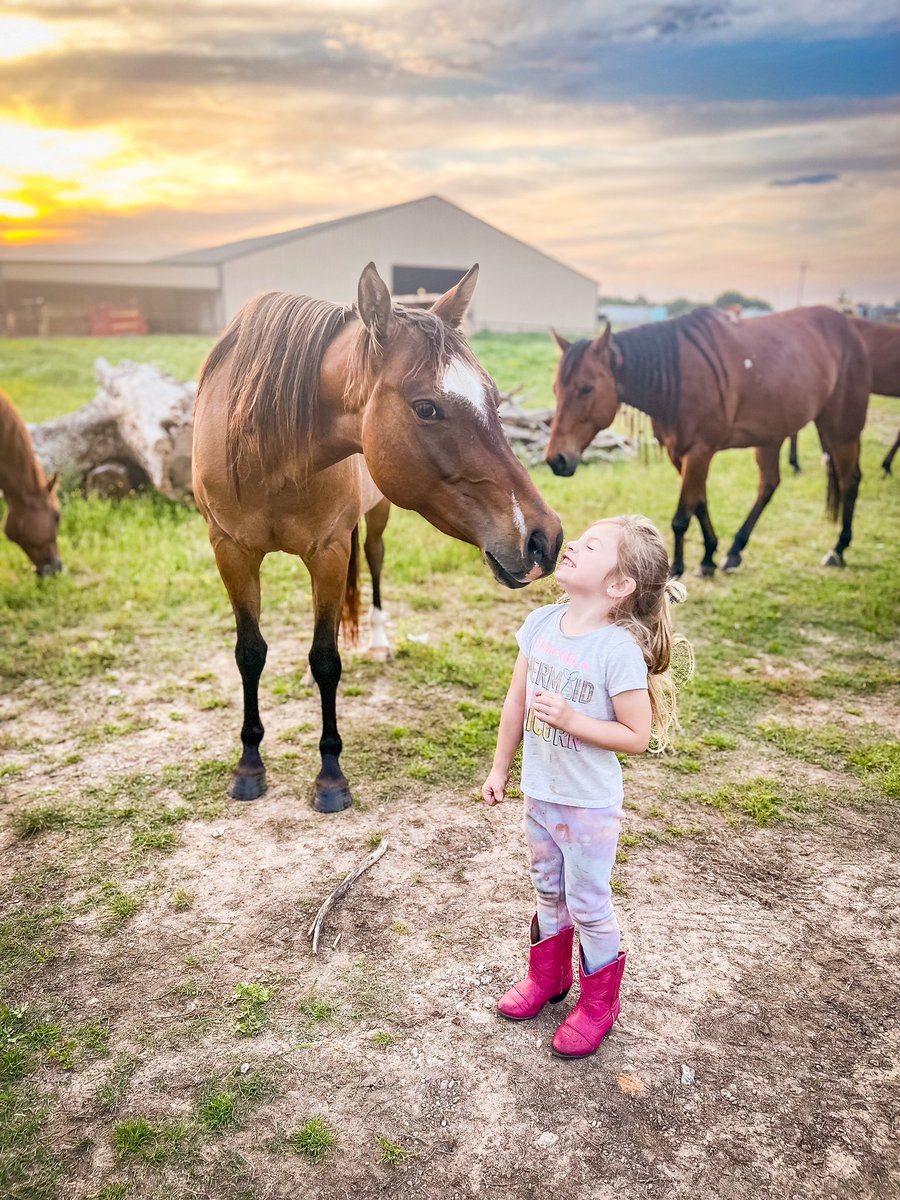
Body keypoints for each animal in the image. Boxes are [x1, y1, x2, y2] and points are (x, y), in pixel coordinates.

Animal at [193, 263, 563, 812]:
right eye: (426, 408)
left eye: (495, 400)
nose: (544, 538)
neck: (267, 447)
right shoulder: (231, 551)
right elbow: (250, 653)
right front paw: (249, 764)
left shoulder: (328, 550)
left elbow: (327, 658)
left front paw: (330, 777)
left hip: (375, 519)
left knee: (375, 560)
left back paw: (381, 641)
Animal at [546, 306, 870, 576]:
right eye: (556, 390)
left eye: (586, 389)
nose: (556, 460)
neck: (676, 378)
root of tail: (849, 327)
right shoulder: (681, 454)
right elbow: (699, 502)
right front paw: (709, 556)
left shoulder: (699, 452)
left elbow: (682, 516)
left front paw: (677, 567)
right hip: (772, 437)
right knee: (769, 485)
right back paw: (735, 551)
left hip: (841, 431)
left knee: (850, 481)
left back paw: (839, 549)